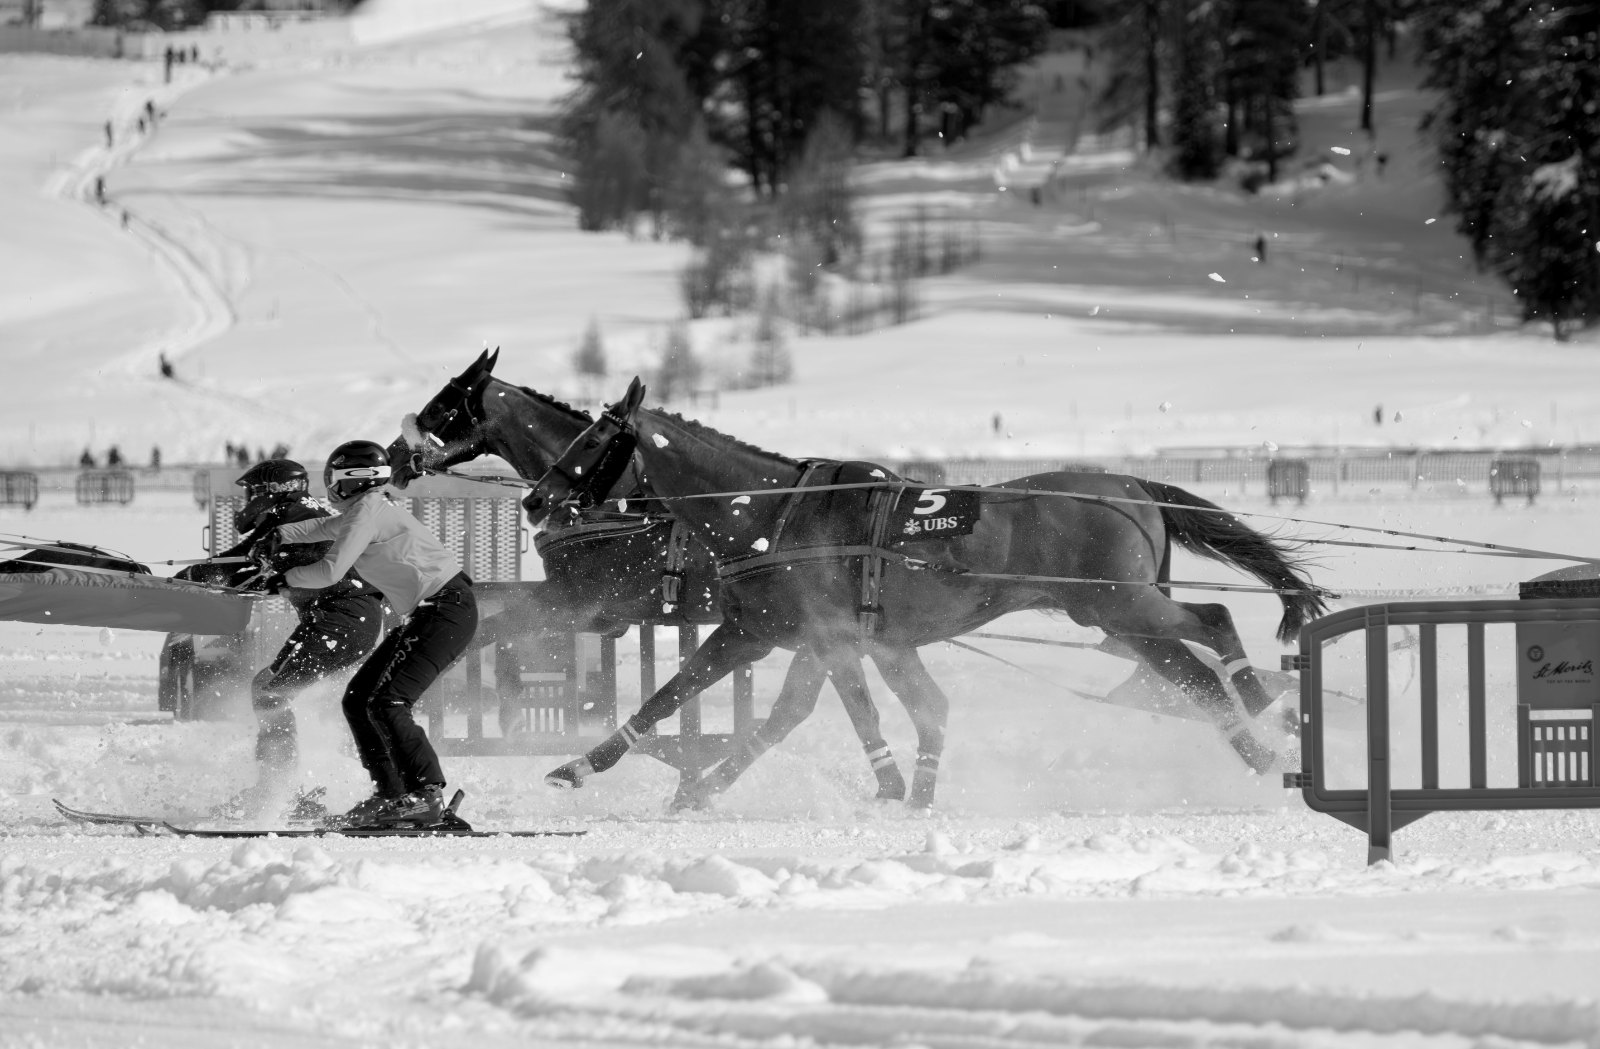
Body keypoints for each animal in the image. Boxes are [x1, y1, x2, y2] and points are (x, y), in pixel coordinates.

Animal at [388, 348, 914, 803]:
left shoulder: (574, 602)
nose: (393, 456)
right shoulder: (595, 615)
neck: (615, 505)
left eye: (439, 406)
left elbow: (494, 638)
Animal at [536, 377, 1329, 808]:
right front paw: (600, 767)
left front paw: (890, 788)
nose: (538, 499)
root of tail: (1130, 485)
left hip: (1121, 602)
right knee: (1193, 676)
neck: (772, 514)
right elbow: (686, 697)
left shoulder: (824, 638)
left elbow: (833, 711)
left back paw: (1257, 696)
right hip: (1118, 619)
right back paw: (1258, 755)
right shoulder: (769, 634)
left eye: (590, 442)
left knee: (1215, 618)